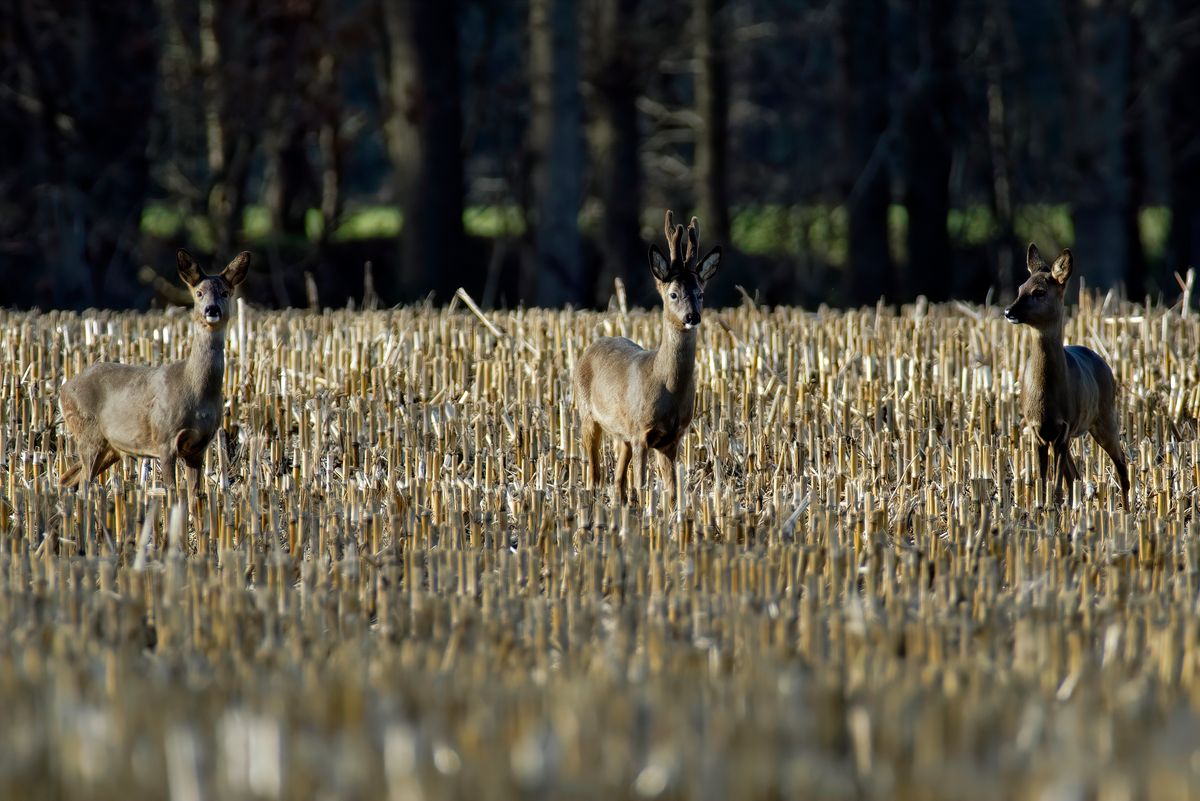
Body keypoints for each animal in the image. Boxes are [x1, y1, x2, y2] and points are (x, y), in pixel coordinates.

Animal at [60, 250, 250, 489]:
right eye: (199, 293)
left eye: (225, 292)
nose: (212, 309)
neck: (195, 390)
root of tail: (63, 389)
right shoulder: (164, 439)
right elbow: (171, 490)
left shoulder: (199, 447)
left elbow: (195, 493)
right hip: (88, 432)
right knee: (83, 482)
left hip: (111, 445)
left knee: (67, 478)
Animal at [573, 209, 720, 503]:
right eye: (673, 294)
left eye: (700, 293)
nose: (692, 317)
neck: (666, 385)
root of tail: (592, 346)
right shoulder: (641, 431)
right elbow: (641, 486)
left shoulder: (672, 438)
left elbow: (673, 491)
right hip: (588, 414)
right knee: (594, 474)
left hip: (622, 435)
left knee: (617, 481)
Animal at [1003, 244, 1132, 506]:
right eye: (1020, 288)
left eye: (1039, 292)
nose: (1008, 311)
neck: (1047, 396)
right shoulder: (1037, 430)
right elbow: (1044, 482)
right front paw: (1040, 507)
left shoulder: (1064, 426)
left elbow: (1055, 487)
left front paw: (1052, 506)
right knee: (1075, 476)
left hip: (1105, 416)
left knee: (1121, 464)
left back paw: (1126, 509)